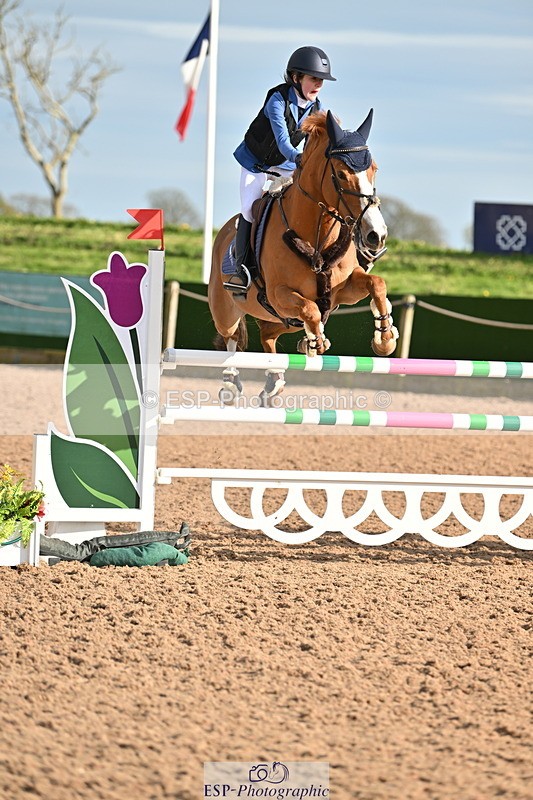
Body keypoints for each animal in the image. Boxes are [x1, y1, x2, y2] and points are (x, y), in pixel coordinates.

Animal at [208, 108, 398, 405]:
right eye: (341, 174)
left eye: (373, 169)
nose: (375, 236)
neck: (316, 236)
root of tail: (223, 232)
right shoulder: (279, 294)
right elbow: (310, 309)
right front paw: (316, 342)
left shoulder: (343, 291)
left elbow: (376, 283)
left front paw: (385, 338)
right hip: (228, 309)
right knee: (230, 339)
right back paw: (230, 384)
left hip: (283, 321)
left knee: (268, 335)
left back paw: (273, 382)